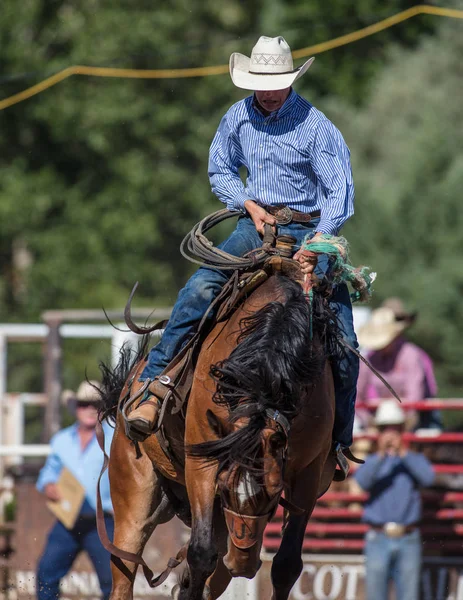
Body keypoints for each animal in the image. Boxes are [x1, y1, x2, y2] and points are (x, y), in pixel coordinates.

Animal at [99, 268, 338, 600]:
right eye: (224, 488)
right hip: (132, 494)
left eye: (275, 492)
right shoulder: (203, 461)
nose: (242, 565)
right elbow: (200, 554)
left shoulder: (308, 474)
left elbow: (286, 565)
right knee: (126, 567)